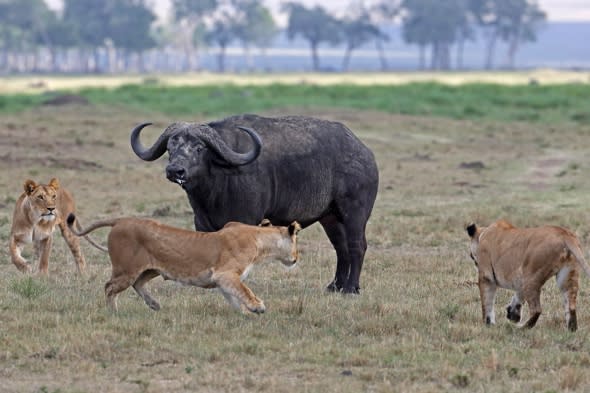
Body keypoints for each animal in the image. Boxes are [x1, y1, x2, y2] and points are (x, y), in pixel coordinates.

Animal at [67, 213, 302, 310]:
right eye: (296, 243)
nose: (296, 258)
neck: (260, 238)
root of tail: (120, 220)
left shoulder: (222, 280)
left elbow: (234, 296)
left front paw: (243, 313)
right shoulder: (225, 274)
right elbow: (245, 290)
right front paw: (257, 307)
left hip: (150, 269)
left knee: (138, 284)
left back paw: (154, 304)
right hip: (126, 269)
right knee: (109, 287)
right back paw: (113, 312)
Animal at [131, 113, 380, 294]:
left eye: (199, 148)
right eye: (170, 148)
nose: (175, 170)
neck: (217, 184)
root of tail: (364, 153)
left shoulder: (246, 219)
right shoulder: (201, 221)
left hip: (355, 214)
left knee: (357, 246)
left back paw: (351, 288)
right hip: (330, 218)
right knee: (341, 248)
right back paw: (335, 286)